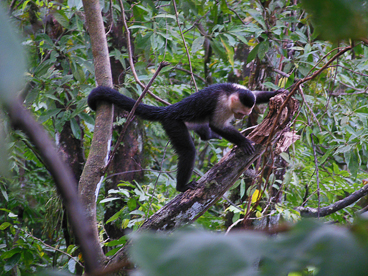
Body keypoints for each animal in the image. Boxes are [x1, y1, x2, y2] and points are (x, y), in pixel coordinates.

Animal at [87, 82, 284, 192]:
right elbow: (218, 125)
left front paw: (277, 93)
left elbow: (256, 95)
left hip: (192, 121)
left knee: (203, 128)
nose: (241, 118)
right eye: (240, 113)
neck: (230, 92)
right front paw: (243, 142)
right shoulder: (221, 103)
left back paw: (208, 136)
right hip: (172, 123)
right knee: (189, 150)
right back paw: (182, 187)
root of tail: (168, 109)